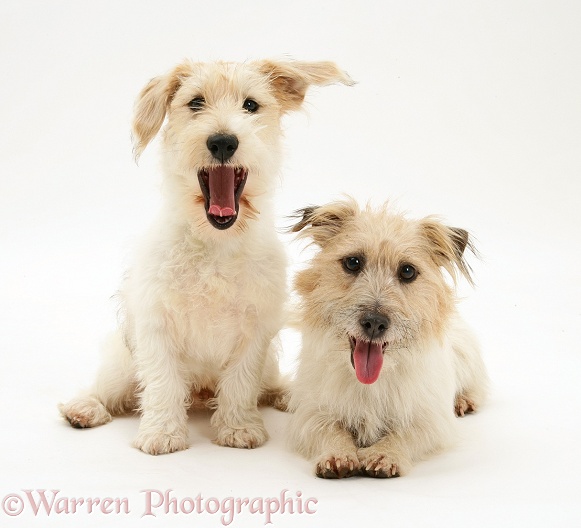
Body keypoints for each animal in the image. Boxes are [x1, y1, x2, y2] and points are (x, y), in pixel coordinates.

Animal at [59, 58, 352, 454]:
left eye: (250, 105)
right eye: (196, 103)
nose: (223, 141)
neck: (215, 244)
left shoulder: (255, 330)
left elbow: (241, 382)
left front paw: (238, 427)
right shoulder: (156, 326)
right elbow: (163, 383)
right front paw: (162, 433)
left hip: (270, 364)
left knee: (265, 383)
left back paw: (286, 394)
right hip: (121, 363)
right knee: (108, 388)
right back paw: (84, 408)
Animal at [288, 199, 488, 478]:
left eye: (408, 271)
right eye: (352, 262)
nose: (374, 322)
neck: (371, 382)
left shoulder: (430, 420)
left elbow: (405, 433)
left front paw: (384, 454)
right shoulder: (311, 412)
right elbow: (329, 428)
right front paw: (338, 454)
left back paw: (463, 400)